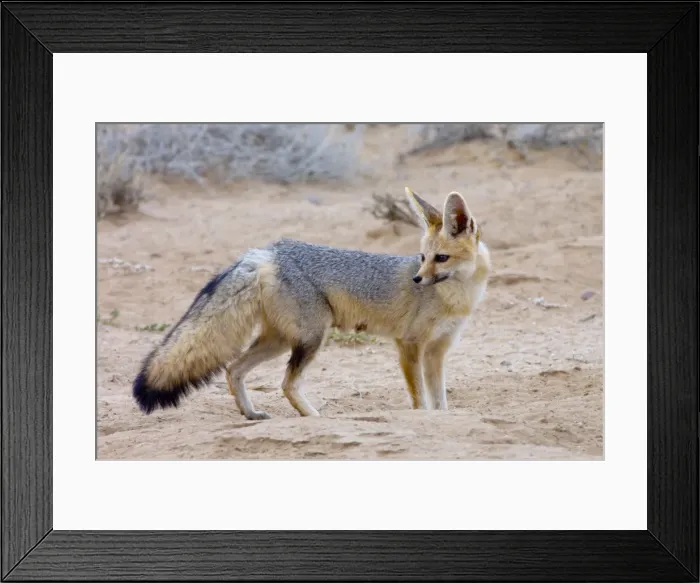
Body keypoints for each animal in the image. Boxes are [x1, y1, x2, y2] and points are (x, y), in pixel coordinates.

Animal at [132, 187, 491, 420]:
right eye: (422, 257)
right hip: (312, 337)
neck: (456, 297)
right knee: (287, 384)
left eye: (440, 258)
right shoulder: (409, 344)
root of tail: (266, 251)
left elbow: (439, 400)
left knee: (234, 369)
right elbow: (420, 400)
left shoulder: (437, 351)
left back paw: (250, 413)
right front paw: (422, 416)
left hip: (280, 340)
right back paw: (314, 416)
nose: (416, 279)